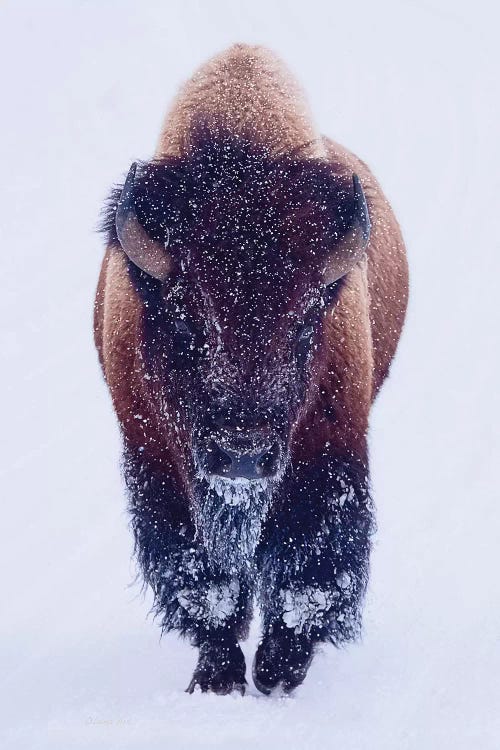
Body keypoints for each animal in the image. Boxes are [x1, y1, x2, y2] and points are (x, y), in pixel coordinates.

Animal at [94, 44, 406, 696]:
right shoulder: (159, 462)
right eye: (184, 318)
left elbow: (308, 572)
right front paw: (218, 676)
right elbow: (206, 580)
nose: (242, 454)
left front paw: (280, 670)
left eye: (307, 319)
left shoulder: (327, 451)